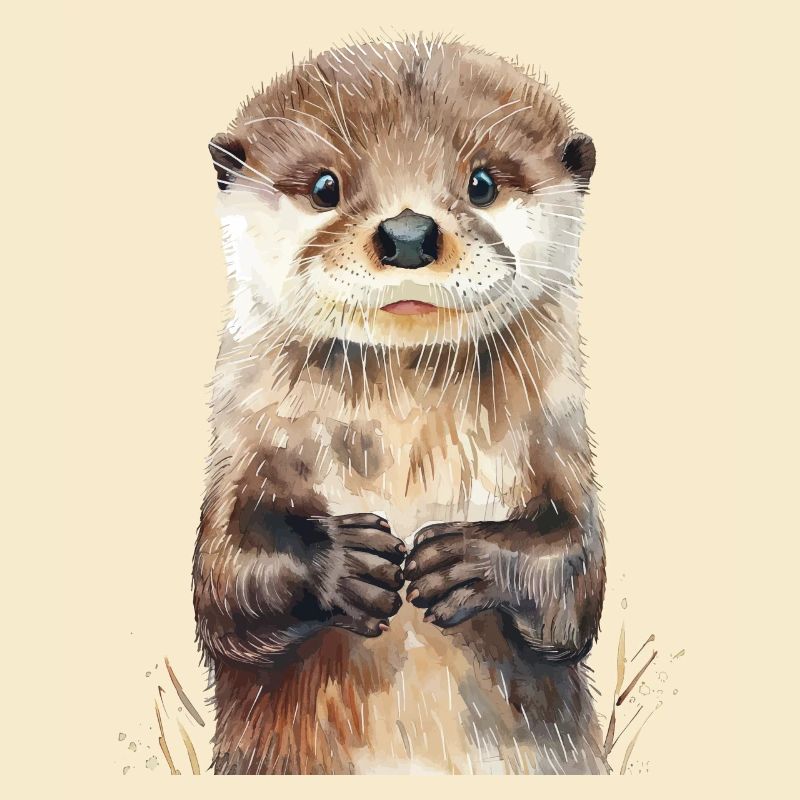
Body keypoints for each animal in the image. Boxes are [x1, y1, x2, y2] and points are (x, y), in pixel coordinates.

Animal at [193, 35, 606, 775]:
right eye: (325, 187)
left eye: (482, 183)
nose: (409, 233)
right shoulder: (241, 444)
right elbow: (225, 576)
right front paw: (344, 563)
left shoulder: (560, 439)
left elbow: (574, 577)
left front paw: (468, 559)